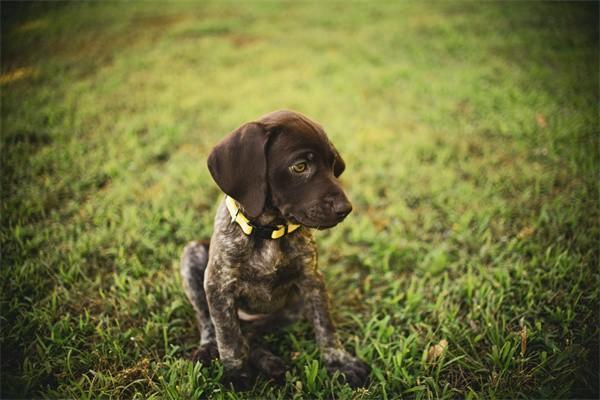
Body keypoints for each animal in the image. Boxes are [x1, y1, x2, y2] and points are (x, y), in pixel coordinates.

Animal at [180, 109, 370, 388]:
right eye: (299, 167)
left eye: (332, 164)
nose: (345, 209)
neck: (268, 231)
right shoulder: (218, 286)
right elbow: (228, 337)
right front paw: (237, 375)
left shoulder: (311, 279)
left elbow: (325, 325)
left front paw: (339, 361)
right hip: (192, 255)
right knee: (211, 324)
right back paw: (210, 349)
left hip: (289, 312)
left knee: (250, 333)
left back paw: (270, 362)